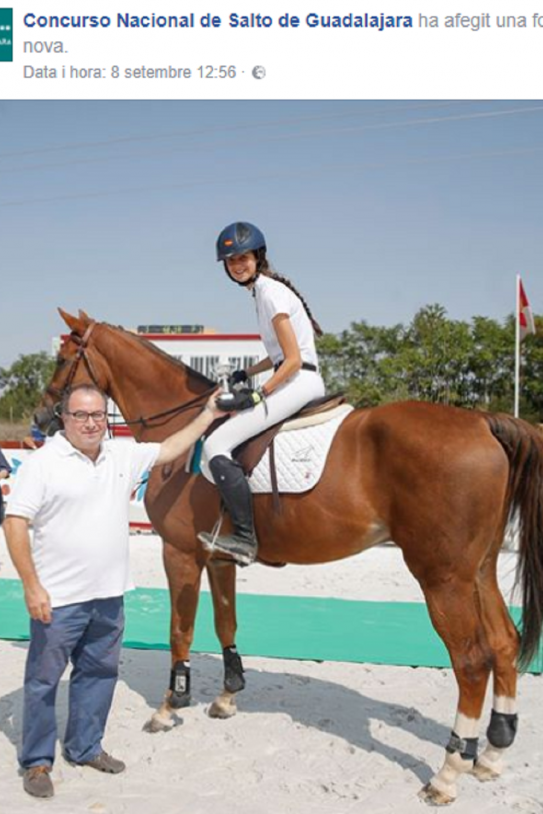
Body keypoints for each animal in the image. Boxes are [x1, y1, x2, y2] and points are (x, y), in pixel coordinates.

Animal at [35, 310, 543, 808]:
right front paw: (227, 697)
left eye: (62, 359)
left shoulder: (178, 552)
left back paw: (448, 772)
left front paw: (169, 705)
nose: (42, 418)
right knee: (504, 642)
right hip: (478, 570)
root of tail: (481, 422)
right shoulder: (218, 557)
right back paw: (492, 753)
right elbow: (225, 623)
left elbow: (181, 629)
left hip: (442, 577)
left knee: (471, 661)